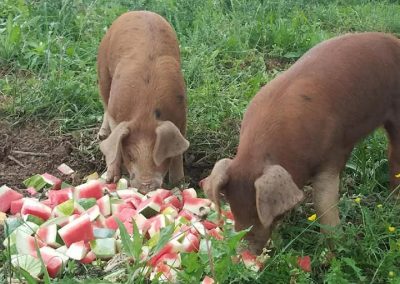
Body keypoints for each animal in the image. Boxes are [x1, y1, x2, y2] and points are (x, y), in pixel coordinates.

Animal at [97, 11, 190, 193]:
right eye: (130, 155)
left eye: (158, 155)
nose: (145, 187)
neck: (145, 111)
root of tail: (138, 11)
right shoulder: (116, 112)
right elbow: (115, 142)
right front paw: (111, 179)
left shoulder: (181, 117)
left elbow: (177, 152)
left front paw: (180, 184)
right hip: (103, 72)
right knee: (104, 104)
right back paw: (102, 135)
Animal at [202, 32, 400, 253]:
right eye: (233, 207)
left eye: (258, 212)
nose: (245, 252)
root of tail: (395, 40)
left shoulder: (332, 154)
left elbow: (324, 206)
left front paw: (334, 251)